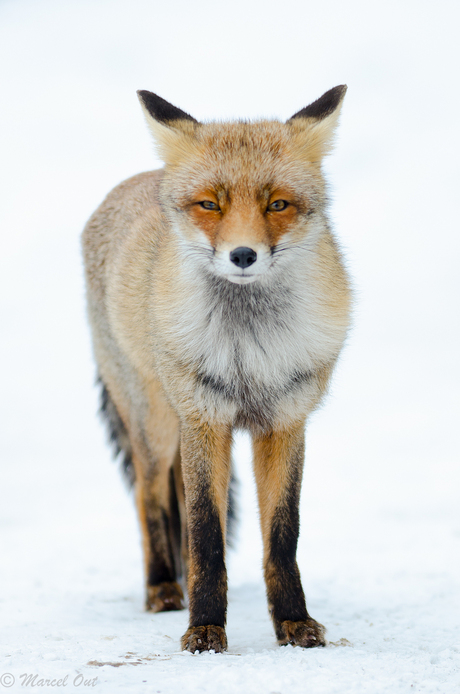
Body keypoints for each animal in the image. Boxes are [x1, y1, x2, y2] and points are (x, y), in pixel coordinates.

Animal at [81, 85, 350, 652]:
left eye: (277, 204)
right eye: (210, 204)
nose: (243, 254)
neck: (248, 353)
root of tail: (139, 181)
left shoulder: (285, 421)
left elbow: (282, 536)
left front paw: (293, 622)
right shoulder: (204, 418)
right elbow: (205, 535)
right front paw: (204, 629)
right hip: (158, 426)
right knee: (150, 498)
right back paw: (163, 587)